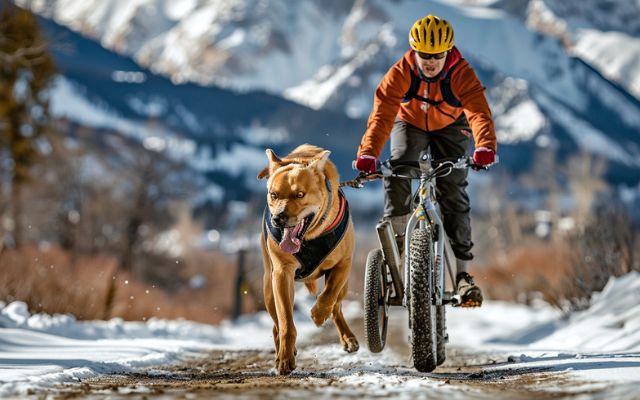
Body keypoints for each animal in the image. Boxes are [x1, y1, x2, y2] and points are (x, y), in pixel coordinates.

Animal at [258, 144, 360, 376]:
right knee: (276, 324)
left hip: (345, 285)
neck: (310, 237)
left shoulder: (344, 263)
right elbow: (286, 323)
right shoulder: (281, 274)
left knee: (337, 306)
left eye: (300, 194)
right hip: (268, 287)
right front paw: (285, 358)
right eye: (273, 194)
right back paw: (282, 352)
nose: (278, 218)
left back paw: (348, 338)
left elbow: (328, 295)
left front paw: (318, 314)